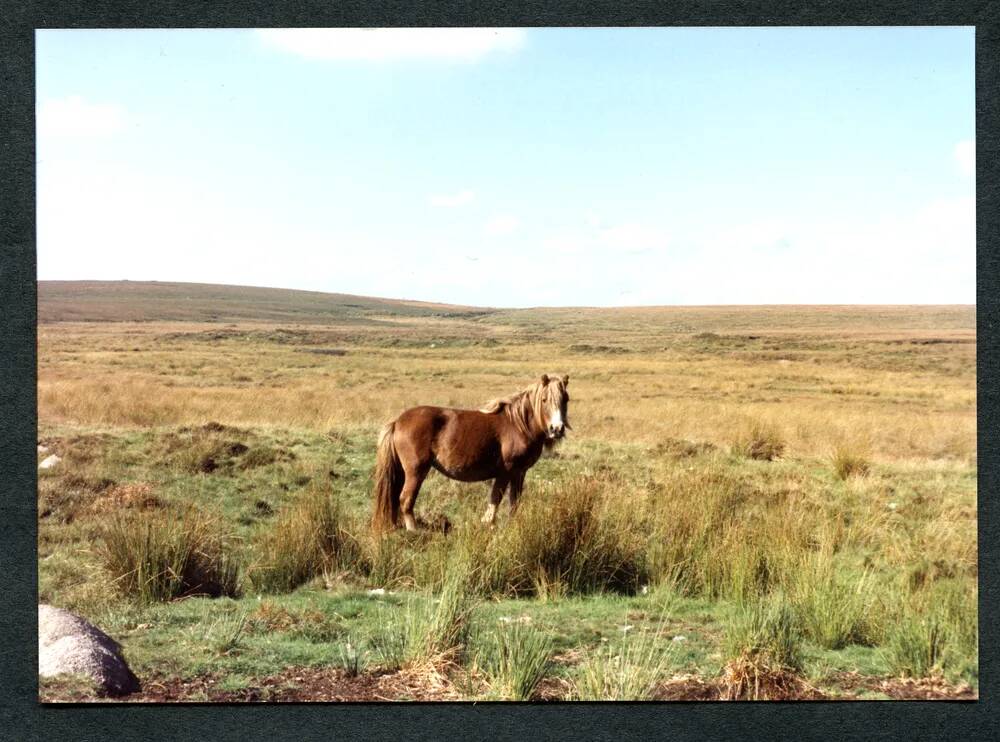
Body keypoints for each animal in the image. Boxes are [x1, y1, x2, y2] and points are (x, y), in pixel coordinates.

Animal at [370, 374, 572, 532]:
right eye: (544, 399)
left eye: (565, 399)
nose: (557, 429)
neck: (518, 424)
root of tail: (397, 422)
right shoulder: (506, 471)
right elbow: (496, 498)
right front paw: (489, 523)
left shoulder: (519, 473)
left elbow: (514, 501)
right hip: (416, 471)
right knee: (405, 499)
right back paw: (413, 530)